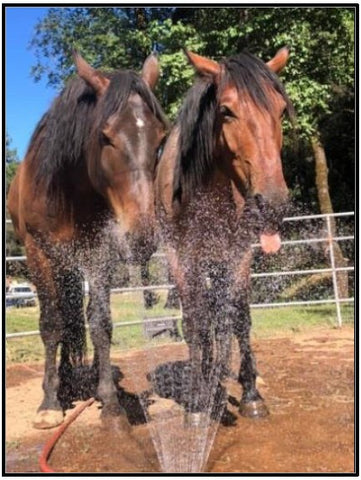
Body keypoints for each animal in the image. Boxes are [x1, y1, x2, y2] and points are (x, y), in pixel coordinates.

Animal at [7, 51, 167, 428]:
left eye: (160, 139)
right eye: (105, 137)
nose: (141, 235)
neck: (67, 189)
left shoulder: (98, 252)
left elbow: (100, 321)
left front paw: (109, 400)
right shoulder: (38, 253)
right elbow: (51, 324)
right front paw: (49, 403)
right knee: (62, 319)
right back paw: (61, 382)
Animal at [155, 46, 292, 420]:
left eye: (281, 110)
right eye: (227, 111)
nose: (273, 203)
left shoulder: (239, 253)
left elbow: (239, 318)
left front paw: (251, 395)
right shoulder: (182, 258)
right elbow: (196, 323)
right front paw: (197, 402)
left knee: (221, 319)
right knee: (201, 321)